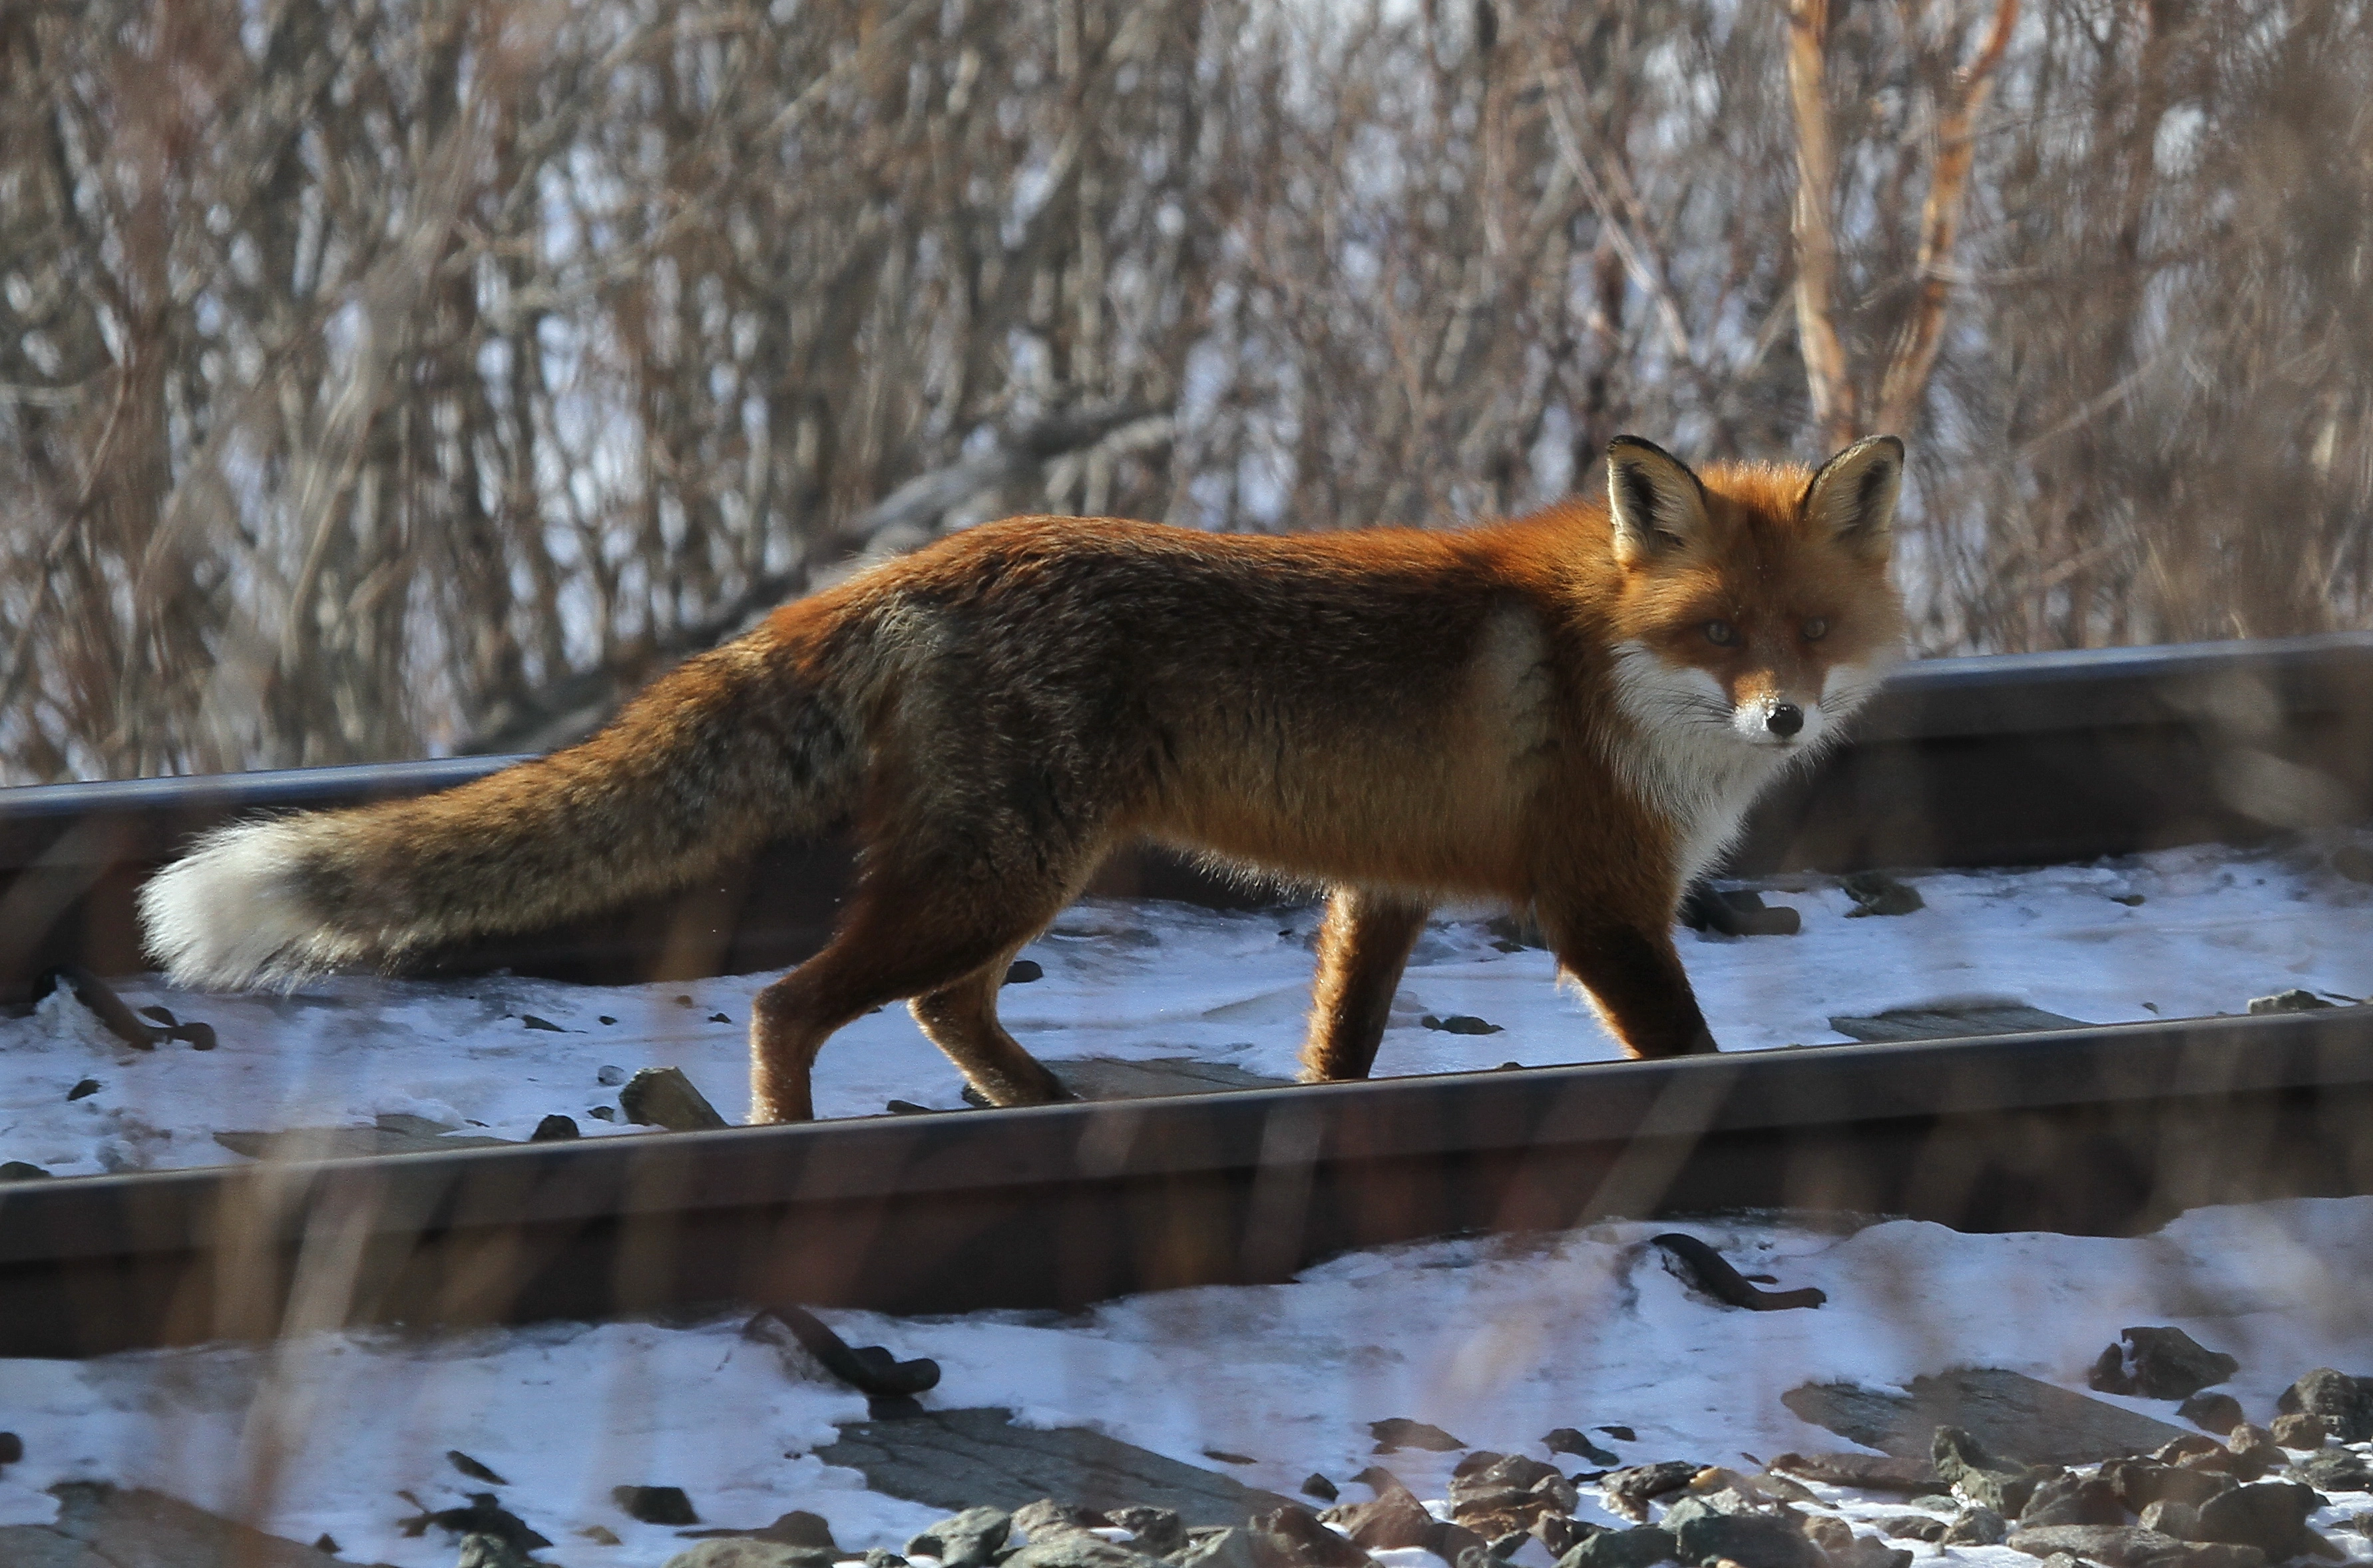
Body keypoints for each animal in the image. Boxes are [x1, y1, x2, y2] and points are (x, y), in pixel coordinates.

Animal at [134, 434, 1908, 1119]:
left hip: (1004, 876)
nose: (1783, 721)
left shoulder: (1382, 889)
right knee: (794, 1000)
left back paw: (1049, 1109)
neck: (1605, 654)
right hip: (1003, 869)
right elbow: (1683, 1048)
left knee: (936, 1009)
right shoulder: (1598, 905)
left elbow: (1334, 1053)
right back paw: (787, 1135)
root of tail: (907, 564)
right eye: (1718, 631)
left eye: (1812, 631)